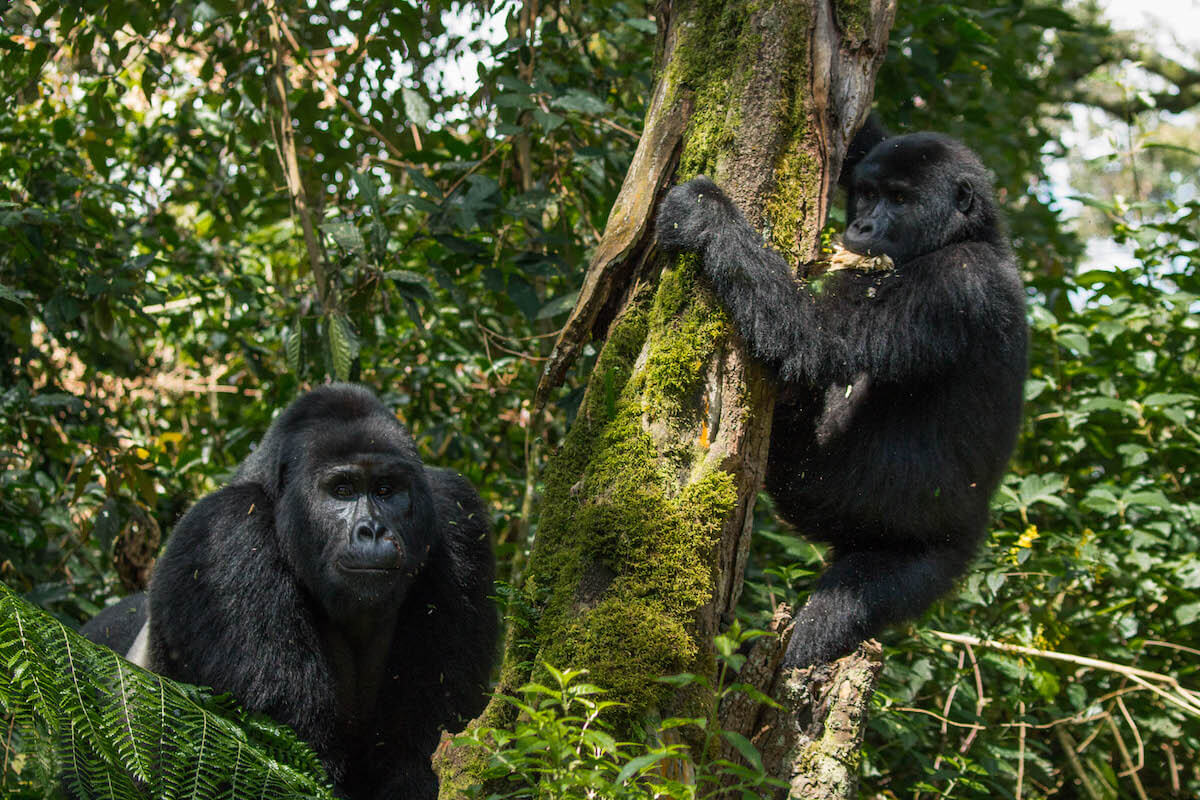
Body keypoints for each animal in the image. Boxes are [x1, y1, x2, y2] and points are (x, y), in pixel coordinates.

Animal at [82, 383, 496, 796]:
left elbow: (422, 751)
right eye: (342, 490)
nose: (373, 531)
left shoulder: (456, 514)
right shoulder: (226, 532)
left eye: (386, 489)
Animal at [657, 118, 1032, 671]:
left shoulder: (951, 282)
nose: (863, 229)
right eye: (870, 193)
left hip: (923, 558)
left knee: (841, 609)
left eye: (900, 199)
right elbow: (865, 140)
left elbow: (813, 339)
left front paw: (704, 211)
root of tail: (972, 537)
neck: (972, 233)